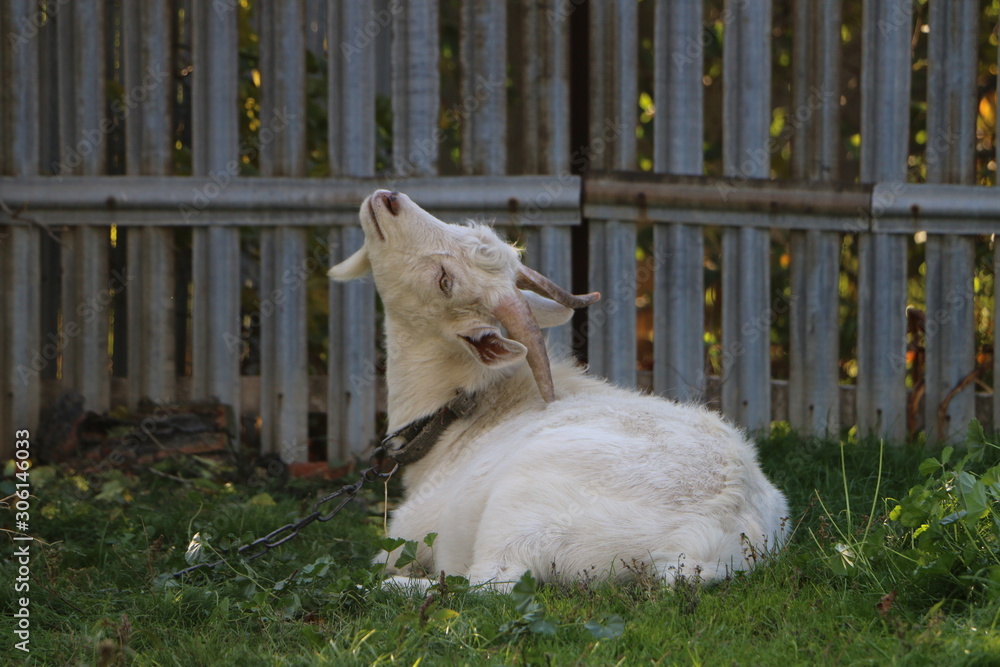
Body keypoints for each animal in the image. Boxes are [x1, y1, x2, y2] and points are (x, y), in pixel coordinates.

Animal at [328, 190, 788, 592]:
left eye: (445, 281)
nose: (389, 199)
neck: (463, 415)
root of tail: (707, 545)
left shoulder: (410, 530)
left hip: (521, 512)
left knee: (490, 585)